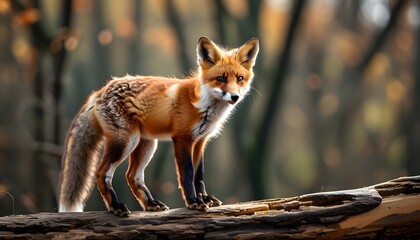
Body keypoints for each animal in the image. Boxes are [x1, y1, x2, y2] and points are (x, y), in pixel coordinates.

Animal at [55, 36, 260, 217]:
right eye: (221, 78)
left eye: (239, 78)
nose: (235, 97)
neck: (205, 106)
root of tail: (99, 92)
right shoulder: (182, 138)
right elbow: (187, 174)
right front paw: (194, 202)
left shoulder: (200, 140)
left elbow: (199, 175)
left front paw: (204, 198)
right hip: (126, 141)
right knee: (101, 173)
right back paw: (116, 207)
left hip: (146, 144)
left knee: (132, 176)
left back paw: (150, 204)